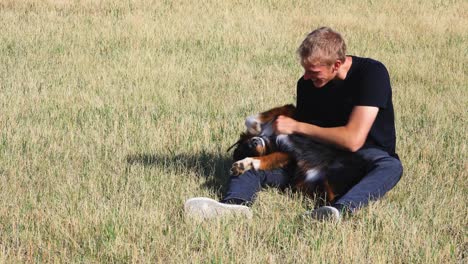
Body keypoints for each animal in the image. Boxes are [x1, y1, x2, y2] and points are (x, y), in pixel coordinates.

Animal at [228, 104, 366, 203]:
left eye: (248, 144)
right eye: (248, 148)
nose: (254, 142)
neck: (270, 139)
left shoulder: (293, 114)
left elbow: (274, 112)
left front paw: (255, 126)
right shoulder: (286, 154)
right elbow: (267, 159)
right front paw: (243, 164)